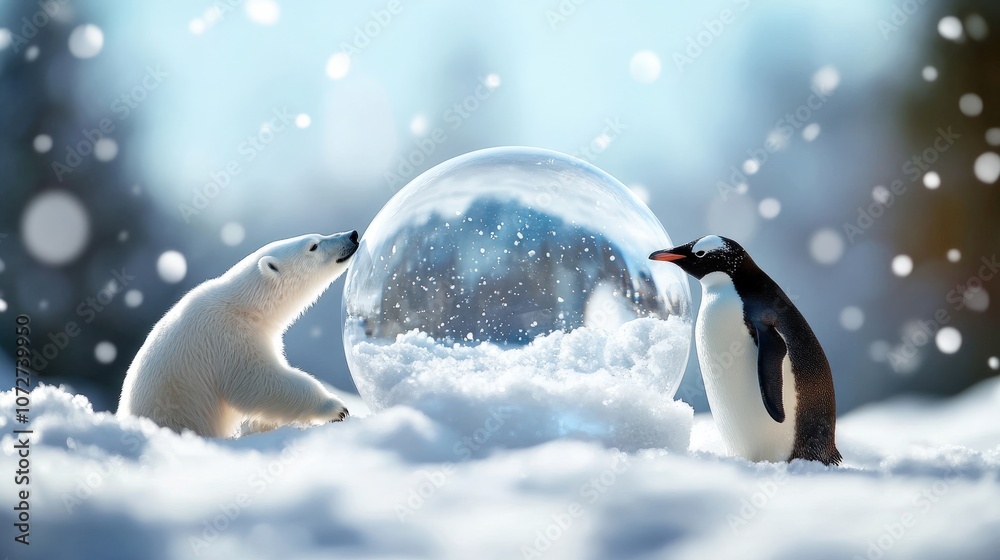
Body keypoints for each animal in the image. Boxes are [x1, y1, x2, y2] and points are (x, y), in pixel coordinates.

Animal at [116, 231, 360, 437]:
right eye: (314, 245)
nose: (352, 235)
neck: (245, 306)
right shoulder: (228, 338)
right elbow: (259, 382)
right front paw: (335, 408)